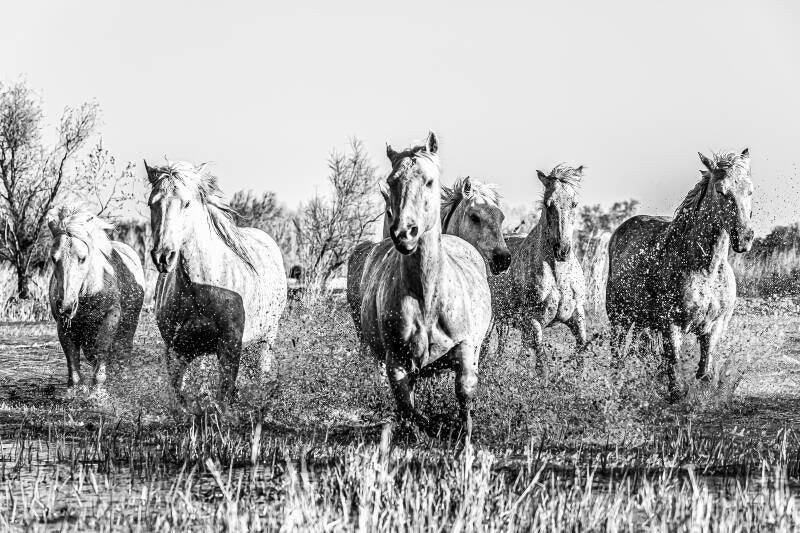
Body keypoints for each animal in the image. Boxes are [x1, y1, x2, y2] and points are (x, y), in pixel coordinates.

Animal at [48, 207, 144, 395]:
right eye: (54, 259)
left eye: (83, 258)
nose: (66, 306)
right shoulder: (64, 326)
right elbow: (72, 360)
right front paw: (74, 391)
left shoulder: (111, 316)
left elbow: (103, 348)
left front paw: (98, 391)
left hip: (129, 324)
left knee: (123, 352)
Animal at [145, 160, 287, 409]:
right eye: (151, 204)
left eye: (187, 203)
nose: (163, 256)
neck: (201, 287)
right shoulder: (176, 351)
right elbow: (181, 397)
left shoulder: (230, 348)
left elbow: (224, 397)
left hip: (266, 339)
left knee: (261, 375)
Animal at [358, 132, 492, 439]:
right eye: (392, 181)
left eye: (429, 181)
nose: (404, 233)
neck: (427, 296)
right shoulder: (396, 359)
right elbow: (407, 403)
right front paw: (420, 429)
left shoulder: (466, 348)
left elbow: (464, 392)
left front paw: (463, 436)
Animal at [491, 164, 588, 370]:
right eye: (547, 204)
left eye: (574, 203)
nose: (562, 250)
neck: (559, 276)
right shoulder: (534, 320)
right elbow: (542, 360)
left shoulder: (577, 314)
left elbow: (582, 348)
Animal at [606, 149, 754, 399]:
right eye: (721, 190)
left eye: (750, 190)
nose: (743, 237)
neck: (705, 270)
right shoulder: (670, 324)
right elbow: (673, 366)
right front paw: (676, 394)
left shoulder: (715, 325)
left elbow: (705, 369)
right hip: (620, 319)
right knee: (617, 354)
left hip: (642, 321)